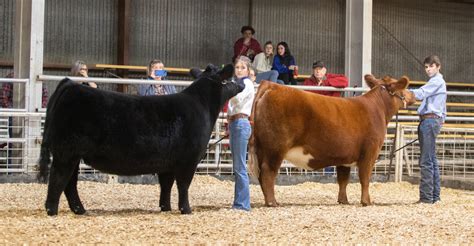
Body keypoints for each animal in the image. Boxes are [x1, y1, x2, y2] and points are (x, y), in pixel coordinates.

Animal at [39, 63, 243, 215]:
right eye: (226, 77)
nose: (241, 81)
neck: (202, 106)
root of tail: (70, 85)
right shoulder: (188, 160)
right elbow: (183, 185)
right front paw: (186, 209)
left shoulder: (168, 162)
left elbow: (166, 185)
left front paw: (165, 208)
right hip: (66, 153)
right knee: (58, 179)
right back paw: (52, 210)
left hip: (73, 155)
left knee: (69, 183)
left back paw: (80, 210)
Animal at [248, 74, 414, 207]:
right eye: (404, 88)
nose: (413, 94)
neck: (378, 108)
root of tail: (271, 86)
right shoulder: (370, 152)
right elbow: (365, 178)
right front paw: (366, 201)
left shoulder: (345, 158)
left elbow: (343, 180)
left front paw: (343, 201)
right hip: (275, 148)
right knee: (268, 172)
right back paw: (272, 203)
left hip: (262, 148)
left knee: (261, 175)